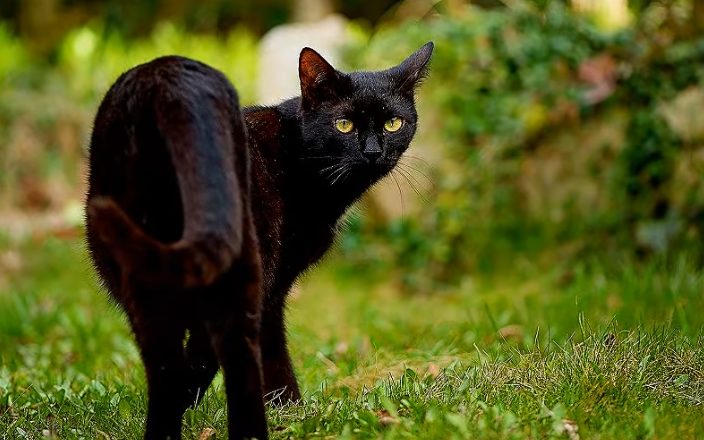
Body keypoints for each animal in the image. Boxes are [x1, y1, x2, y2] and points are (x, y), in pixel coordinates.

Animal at [86, 42, 432, 440]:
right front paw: (293, 409)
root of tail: (166, 79)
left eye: (393, 123)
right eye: (344, 125)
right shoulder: (275, 282)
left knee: (166, 369)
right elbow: (272, 349)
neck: (298, 158)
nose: (373, 152)